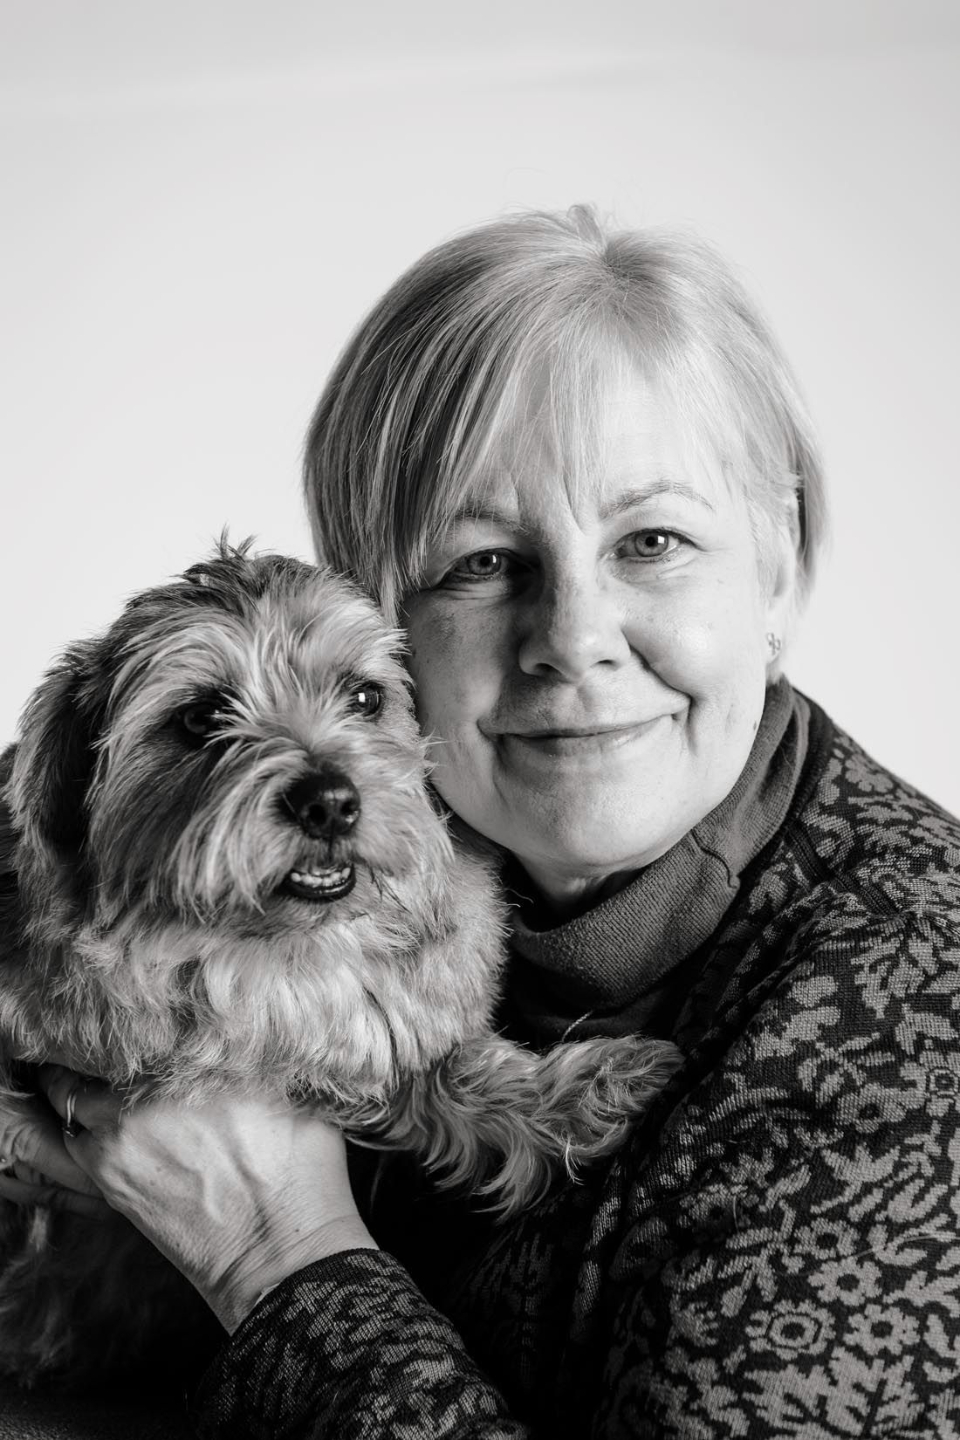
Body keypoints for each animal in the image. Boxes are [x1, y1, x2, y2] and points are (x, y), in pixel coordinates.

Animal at [0, 541, 680, 1385]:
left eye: (364, 696)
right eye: (199, 717)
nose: (329, 800)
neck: (267, 960)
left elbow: (444, 1068)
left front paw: (591, 1090)